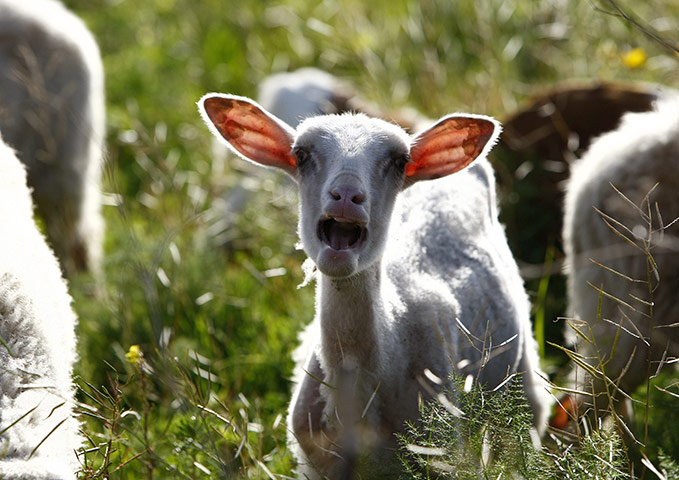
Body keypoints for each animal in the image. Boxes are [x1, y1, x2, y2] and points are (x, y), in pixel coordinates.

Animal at [198, 94, 550, 478]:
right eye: (301, 154)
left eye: (399, 161)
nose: (346, 195)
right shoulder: (317, 461)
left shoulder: (439, 451)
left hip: (523, 381)